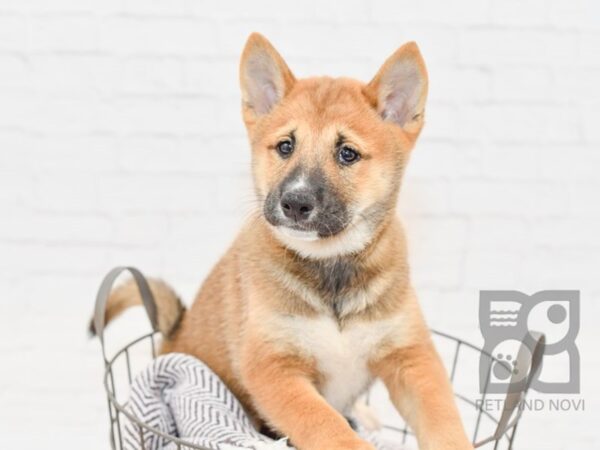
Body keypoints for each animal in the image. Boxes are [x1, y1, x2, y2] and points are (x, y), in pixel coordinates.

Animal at [98, 33, 474, 448]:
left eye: (347, 153)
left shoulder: (411, 357)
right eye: (285, 146)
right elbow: (328, 426)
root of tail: (169, 339)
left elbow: (443, 419)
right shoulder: (273, 368)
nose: (294, 201)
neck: (331, 268)